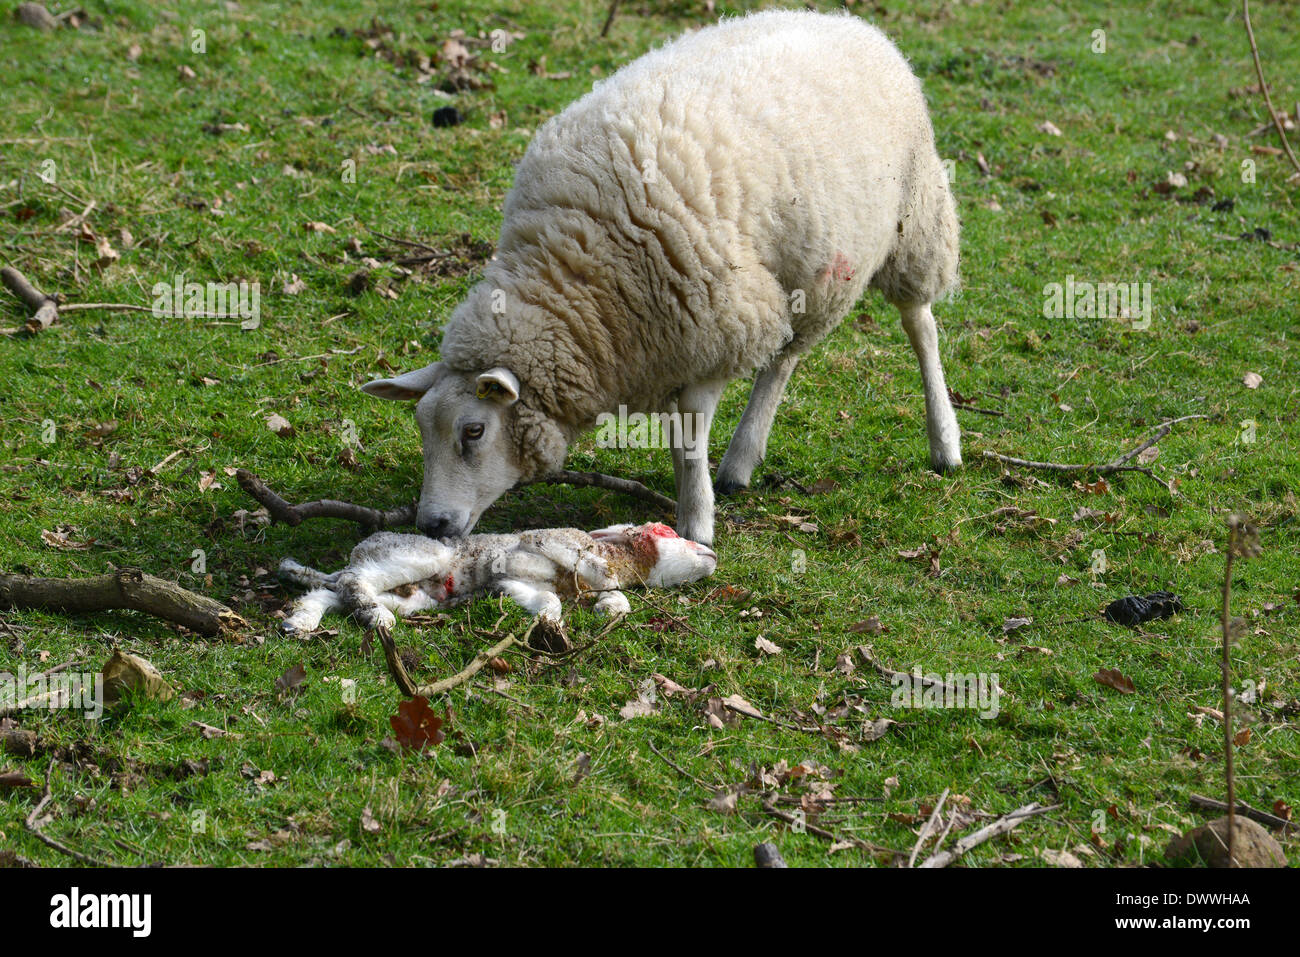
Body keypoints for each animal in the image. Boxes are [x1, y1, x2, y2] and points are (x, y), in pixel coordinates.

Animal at [278, 522, 717, 634]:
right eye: (666, 531)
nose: (713, 555)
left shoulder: (516, 586)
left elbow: (548, 598)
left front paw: (602, 610)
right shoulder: (552, 542)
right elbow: (590, 570)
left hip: (411, 596)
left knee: (330, 591)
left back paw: (300, 622)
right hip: (419, 557)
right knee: (351, 581)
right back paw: (376, 619)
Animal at [361, 9, 961, 546]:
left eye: (474, 430)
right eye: (422, 429)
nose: (430, 525)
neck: (574, 274)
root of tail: (851, 22)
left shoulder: (714, 326)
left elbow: (689, 437)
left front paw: (696, 524)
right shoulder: (672, 339)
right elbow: (684, 433)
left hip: (915, 220)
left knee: (921, 326)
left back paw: (945, 443)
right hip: (808, 272)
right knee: (786, 356)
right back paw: (742, 459)